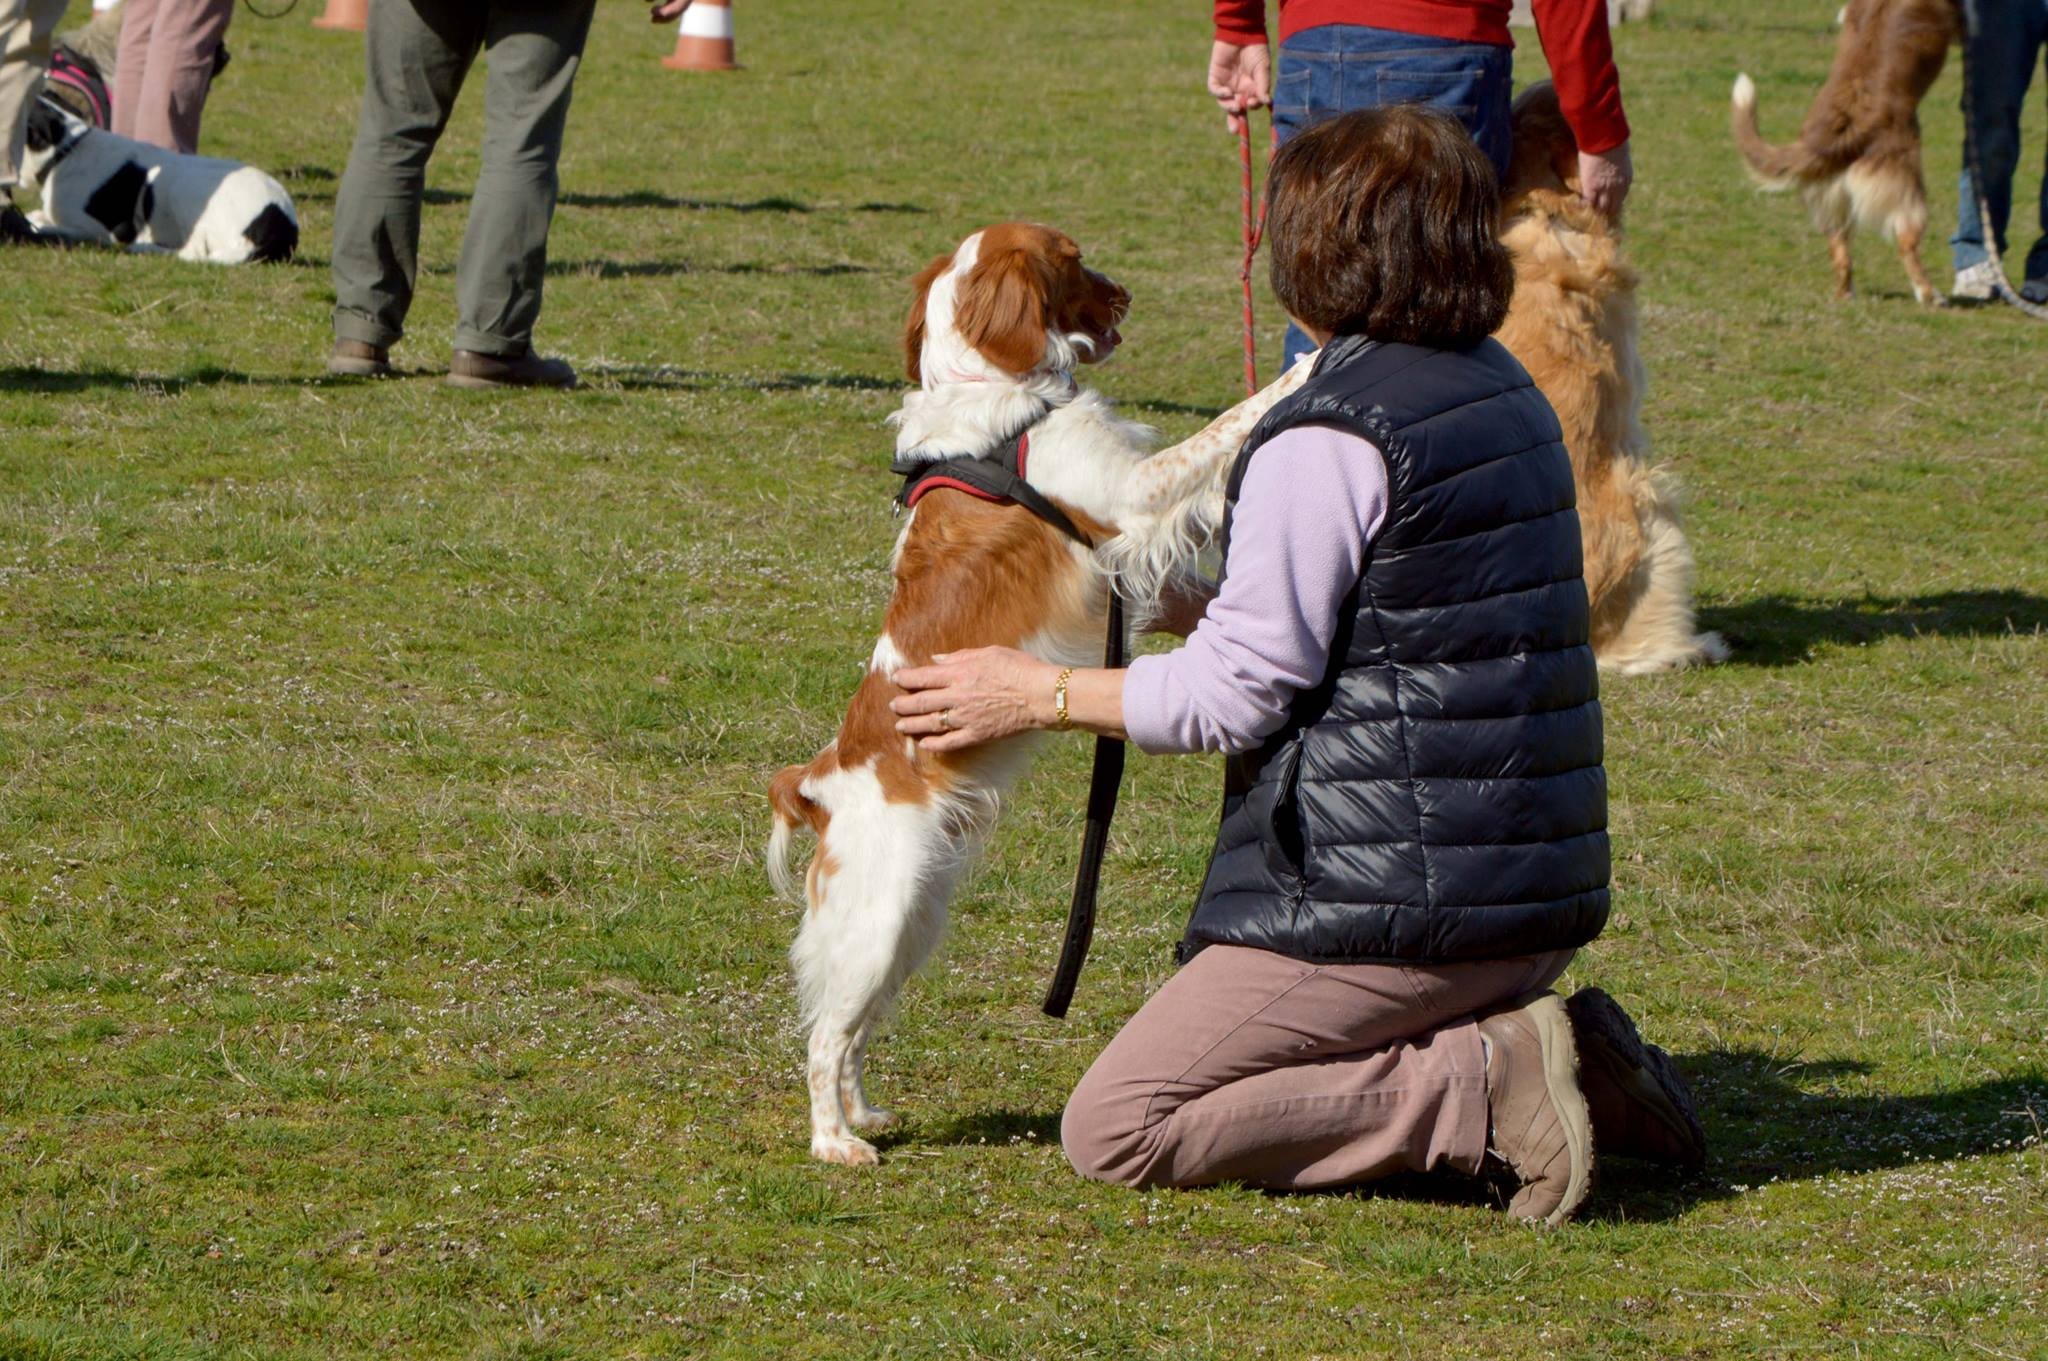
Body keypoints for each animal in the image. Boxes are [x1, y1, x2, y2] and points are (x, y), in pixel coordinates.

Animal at [20, 96, 296, 266]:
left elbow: (45, 226)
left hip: (184, 186)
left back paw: (144, 247)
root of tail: (277, 222)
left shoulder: (96, 230)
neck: (65, 152)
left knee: (193, 252)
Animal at [1736, 0, 1957, 302]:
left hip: (1832, 199)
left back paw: (1846, 294)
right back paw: (1930, 294)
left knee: (1840, 253)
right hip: (1907, 193)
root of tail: (1825, 140)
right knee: (1906, 245)